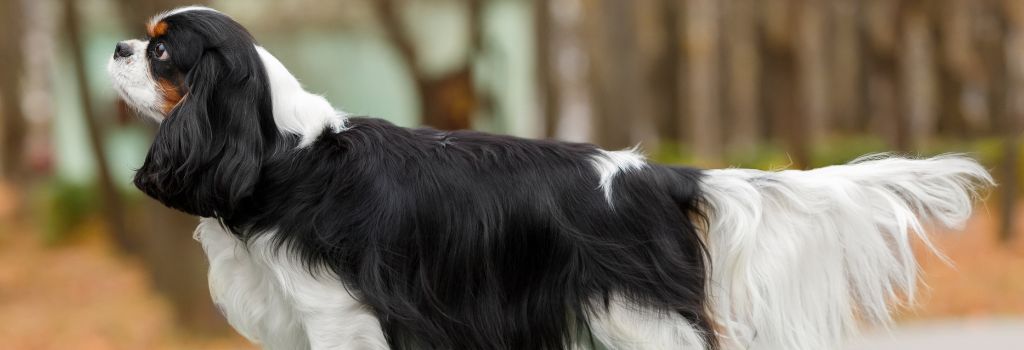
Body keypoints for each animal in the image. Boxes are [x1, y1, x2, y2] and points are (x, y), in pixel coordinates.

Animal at [108, 6, 995, 350]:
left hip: (645, 325)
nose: (115, 46)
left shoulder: (343, 318)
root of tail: (660, 175)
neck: (280, 153)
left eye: (162, 48)